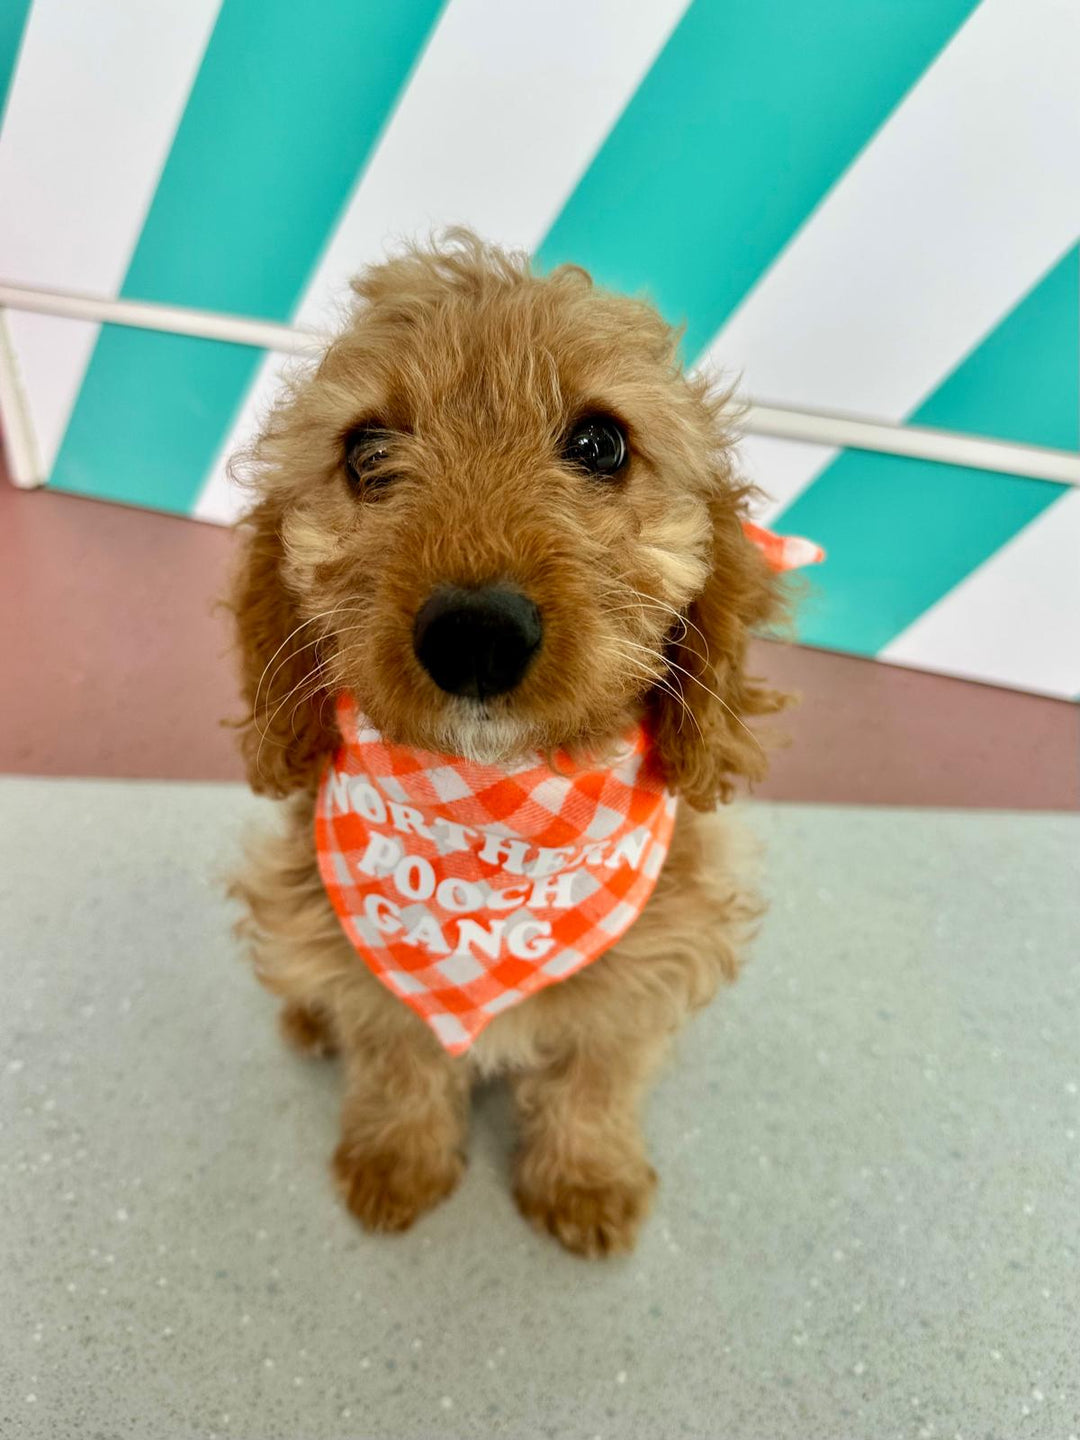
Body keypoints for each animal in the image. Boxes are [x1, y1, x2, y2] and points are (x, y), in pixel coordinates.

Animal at [228, 230, 789, 1255]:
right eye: (367, 451)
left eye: (601, 444)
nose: (475, 636)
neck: (491, 816)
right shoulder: (374, 982)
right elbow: (397, 1056)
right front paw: (397, 1163)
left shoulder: (647, 974)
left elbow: (596, 1080)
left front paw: (586, 1181)